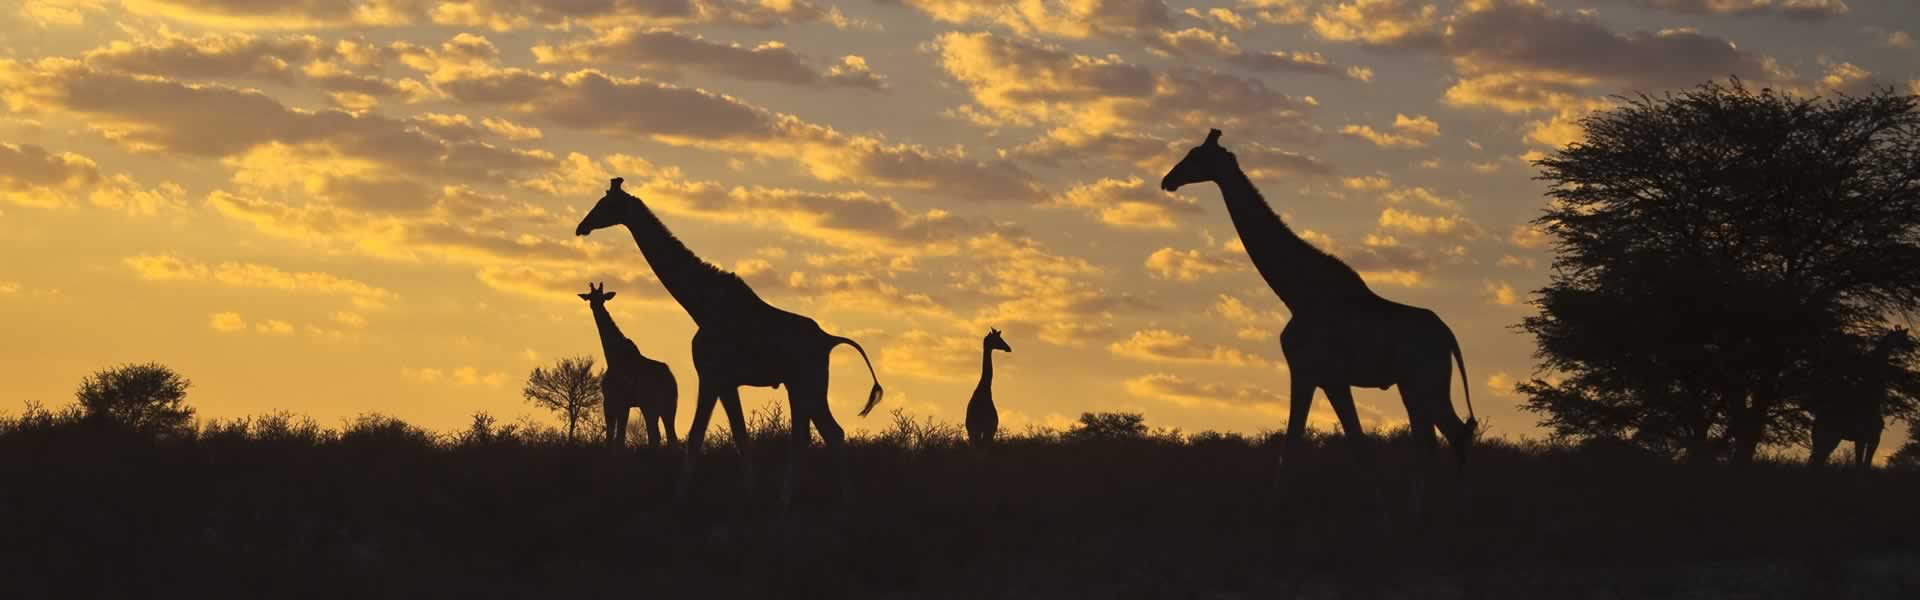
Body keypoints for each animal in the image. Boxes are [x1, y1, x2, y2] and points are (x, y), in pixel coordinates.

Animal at [579, 282, 678, 449]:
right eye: (591, 297)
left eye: (601, 297)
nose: (595, 306)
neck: (613, 356)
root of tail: (671, 379)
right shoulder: (622, 403)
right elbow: (618, 435)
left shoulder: (612, 399)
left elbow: (614, 436)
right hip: (668, 405)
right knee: (668, 436)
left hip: (650, 405)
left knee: (656, 435)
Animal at [1160, 129, 1477, 481]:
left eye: (1195, 156)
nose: (1168, 180)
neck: (1296, 292)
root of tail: (1449, 336)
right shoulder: (1332, 380)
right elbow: (1357, 447)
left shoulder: (1305, 370)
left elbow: (1292, 448)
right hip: (1414, 385)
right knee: (1439, 440)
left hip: (1426, 380)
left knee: (1452, 436)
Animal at [1810, 327, 1914, 470]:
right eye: (1903, 337)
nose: (1912, 347)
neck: (1872, 400)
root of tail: (1816, 422)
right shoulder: (1867, 438)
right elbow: (1861, 466)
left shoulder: (1869, 439)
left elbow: (1863, 465)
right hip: (1826, 437)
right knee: (1815, 461)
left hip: (1829, 439)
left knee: (1817, 460)